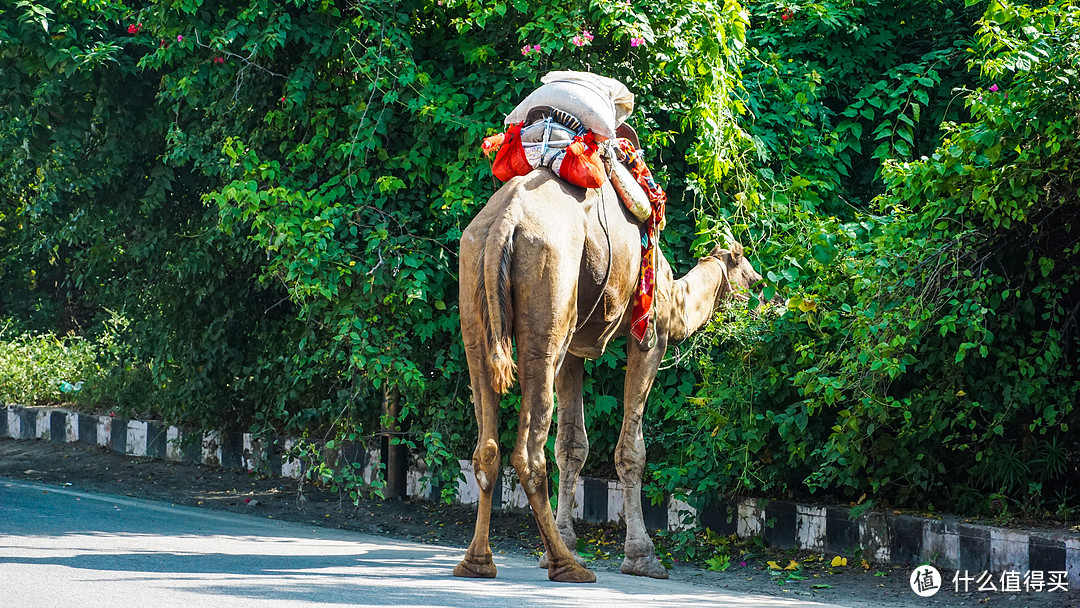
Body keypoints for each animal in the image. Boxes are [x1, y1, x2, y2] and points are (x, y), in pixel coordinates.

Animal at [451, 167, 764, 583]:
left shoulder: (574, 352)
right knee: (529, 450)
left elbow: (571, 446)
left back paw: (479, 563)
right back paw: (568, 568)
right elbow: (632, 450)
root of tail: (504, 222)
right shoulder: (650, 333)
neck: (677, 297)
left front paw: (565, 544)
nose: (765, 300)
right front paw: (642, 558)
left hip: (475, 285)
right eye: (752, 279)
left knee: (487, 443)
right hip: (547, 290)